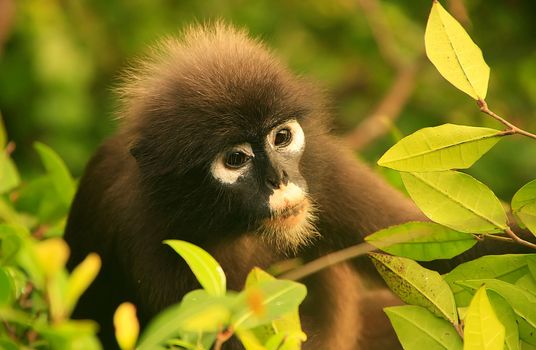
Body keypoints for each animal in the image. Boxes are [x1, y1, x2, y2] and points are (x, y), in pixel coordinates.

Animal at [63, 23, 532, 348]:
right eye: (235, 160)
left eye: (282, 137)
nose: (281, 178)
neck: (238, 228)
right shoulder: (154, 244)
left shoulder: (326, 172)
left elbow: (454, 252)